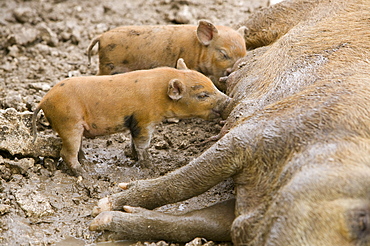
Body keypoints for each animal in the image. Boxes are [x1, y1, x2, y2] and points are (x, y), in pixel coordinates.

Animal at [31, 60, 230, 178]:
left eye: (211, 85)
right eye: (202, 95)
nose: (228, 100)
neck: (159, 95)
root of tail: (44, 100)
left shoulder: (135, 123)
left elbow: (134, 142)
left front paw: (133, 157)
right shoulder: (144, 120)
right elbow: (143, 144)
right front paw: (150, 168)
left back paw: (88, 165)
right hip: (68, 123)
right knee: (67, 152)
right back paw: (86, 174)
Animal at [86, 19, 247, 90]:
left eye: (245, 53)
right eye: (224, 54)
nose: (233, 69)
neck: (197, 49)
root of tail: (101, 36)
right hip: (107, 66)